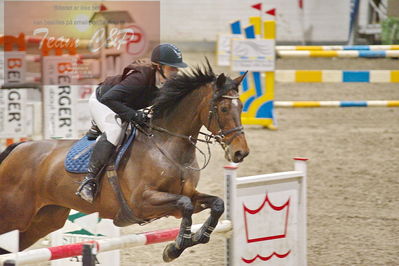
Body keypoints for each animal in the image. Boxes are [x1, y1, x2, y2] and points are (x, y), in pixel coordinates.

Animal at [0, 60, 250, 262]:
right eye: (223, 108)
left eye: (241, 107)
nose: (241, 153)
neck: (167, 145)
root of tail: (18, 147)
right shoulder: (142, 201)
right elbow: (185, 205)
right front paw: (176, 247)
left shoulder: (185, 196)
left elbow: (216, 204)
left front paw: (193, 238)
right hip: (15, 216)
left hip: (40, 222)